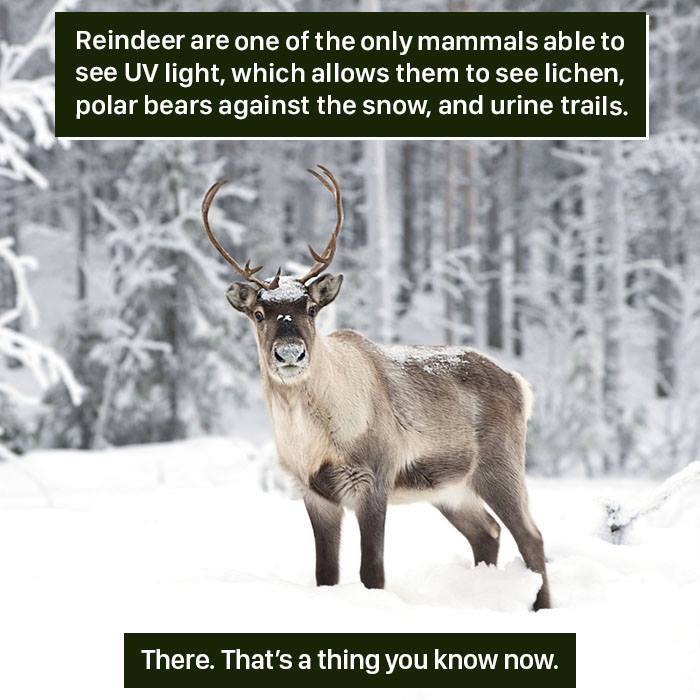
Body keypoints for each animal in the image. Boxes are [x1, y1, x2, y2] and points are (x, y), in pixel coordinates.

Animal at [202, 165, 551, 610]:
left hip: (499, 467)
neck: (312, 437)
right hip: (450, 489)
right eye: (259, 313)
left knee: (531, 537)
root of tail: (519, 384)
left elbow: (373, 572)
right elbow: (325, 574)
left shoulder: (372, 480)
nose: (290, 354)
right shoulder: (314, 493)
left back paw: (540, 606)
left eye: (310, 308)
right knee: (487, 532)